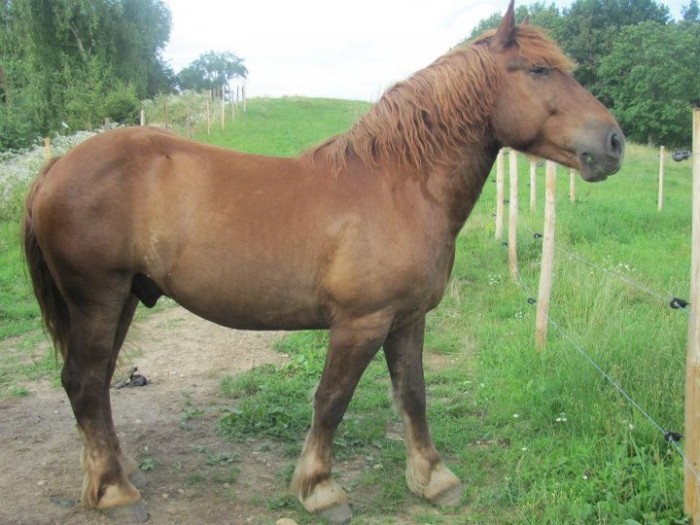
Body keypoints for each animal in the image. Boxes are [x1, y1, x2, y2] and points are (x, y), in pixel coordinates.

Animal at [20, 3, 624, 520]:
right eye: (540, 70)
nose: (615, 142)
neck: (400, 186)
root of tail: (55, 168)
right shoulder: (361, 323)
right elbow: (332, 400)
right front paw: (319, 490)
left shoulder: (407, 319)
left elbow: (413, 395)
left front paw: (433, 479)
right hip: (98, 297)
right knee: (84, 381)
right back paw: (116, 493)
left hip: (122, 298)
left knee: (97, 384)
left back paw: (113, 474)